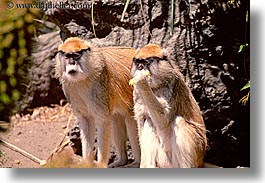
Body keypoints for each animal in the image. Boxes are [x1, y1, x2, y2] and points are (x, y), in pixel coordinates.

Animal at [54, 36, 140, 167]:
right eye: (67, 56)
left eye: (76, 56)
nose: (72, 63)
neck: (83, 77)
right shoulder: (69, 89)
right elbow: (86, 122)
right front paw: (86, 162)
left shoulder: (99, 86)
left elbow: (103, 121)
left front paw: (101, 164)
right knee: (116, 118)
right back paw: (122, 160)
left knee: (132, 121)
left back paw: (137, 162)